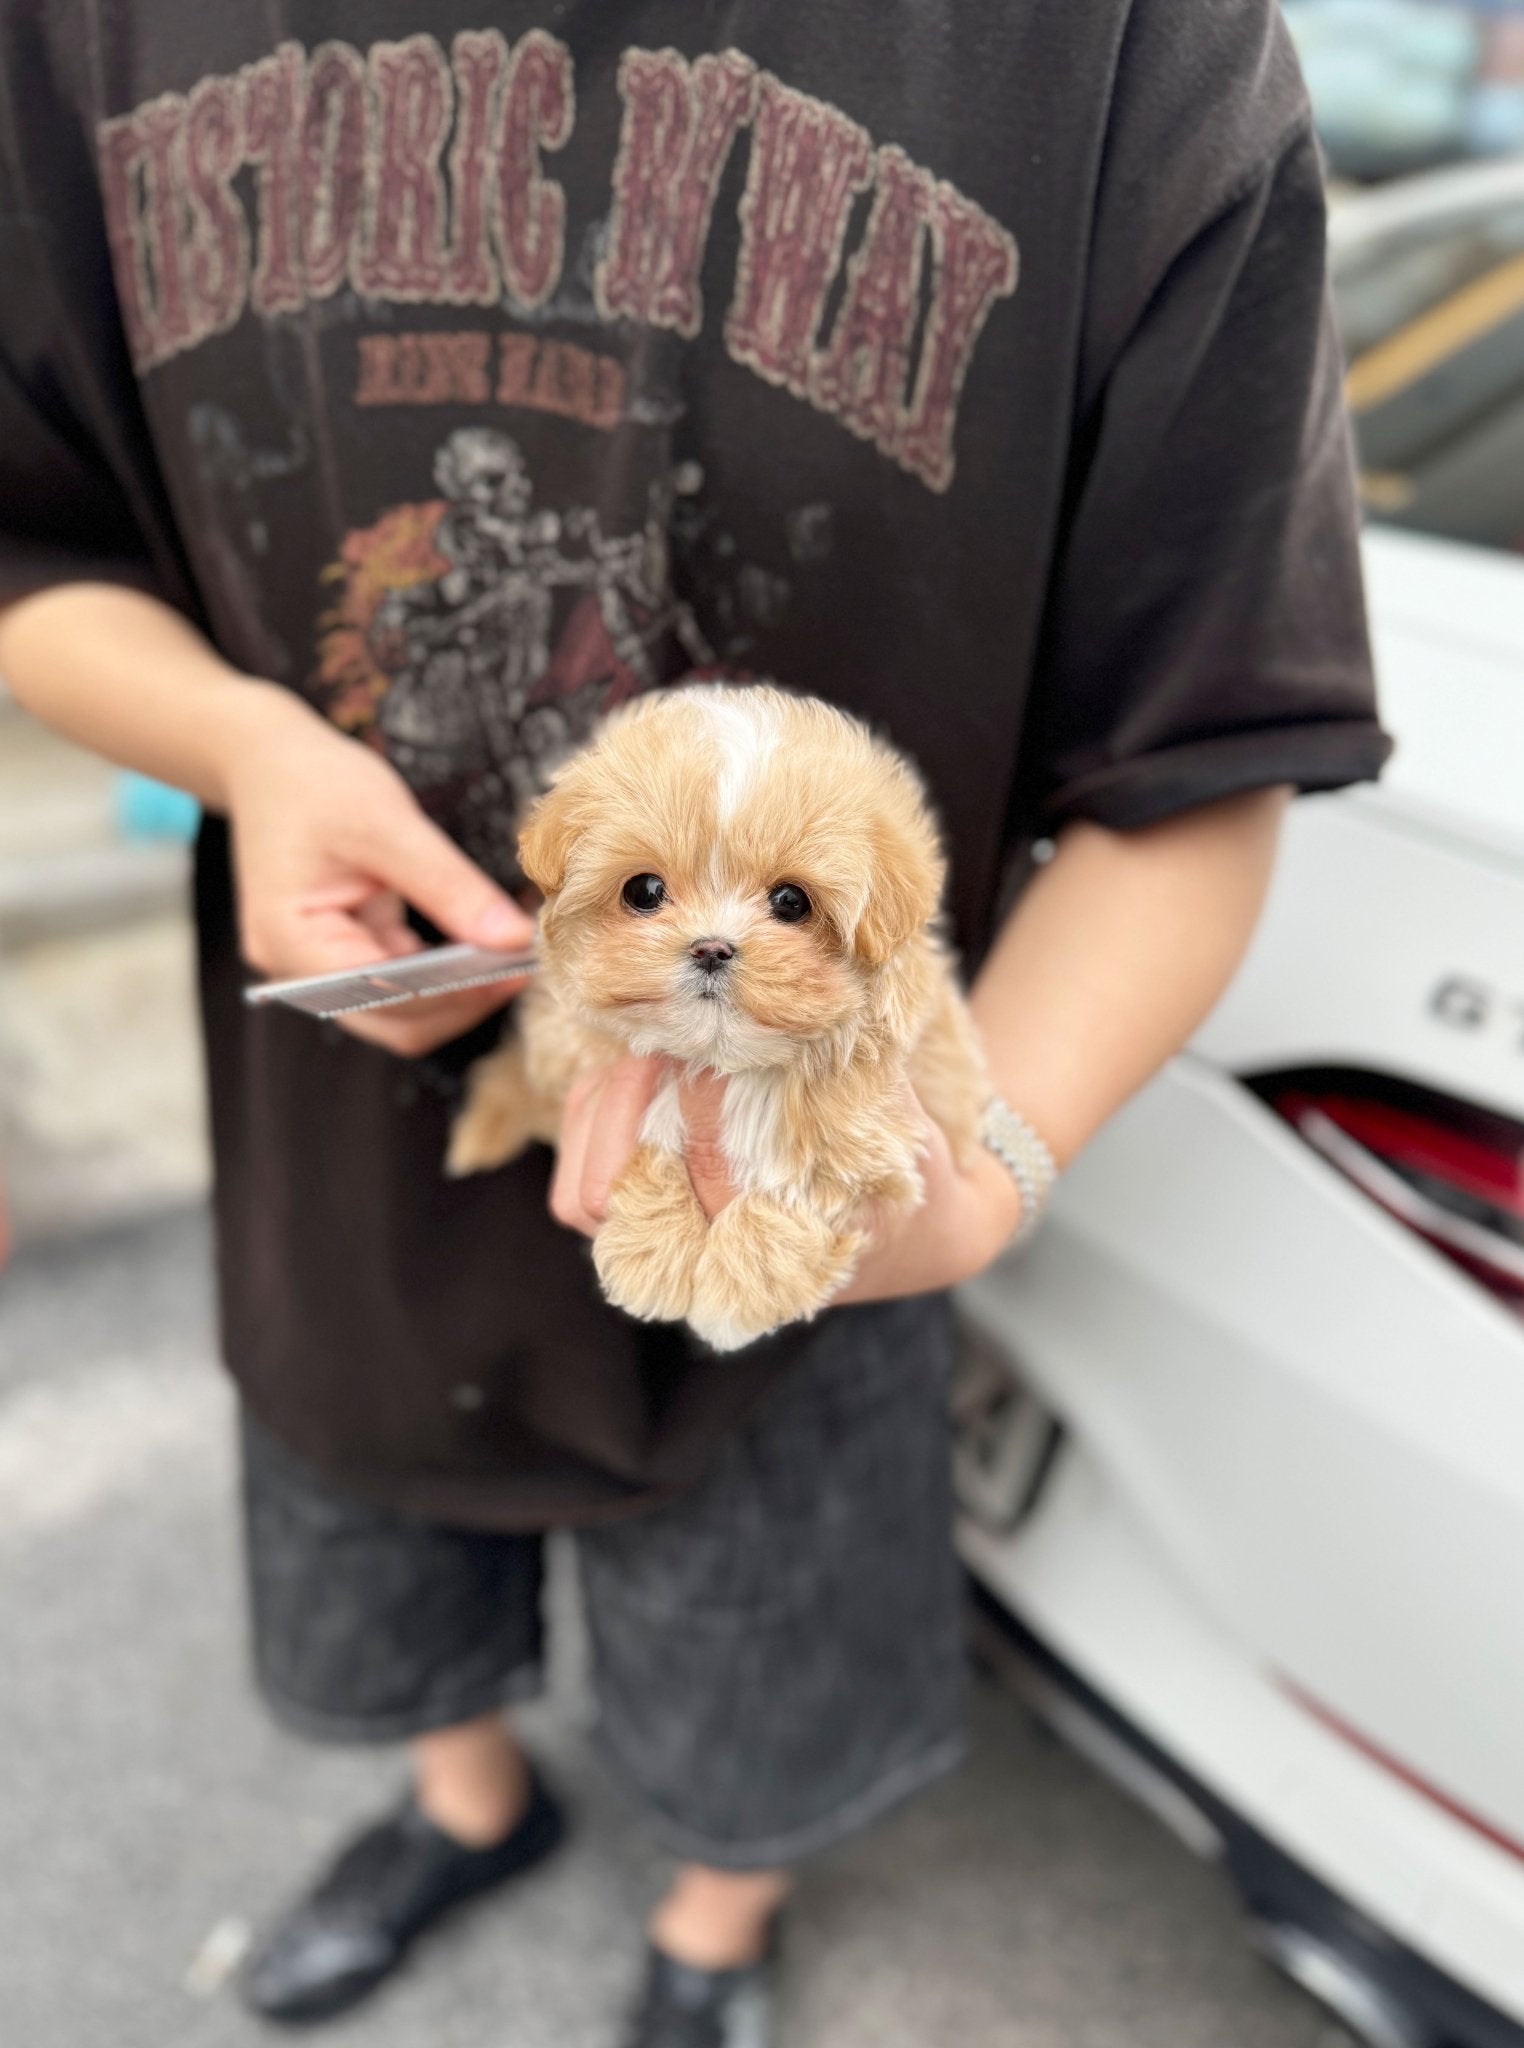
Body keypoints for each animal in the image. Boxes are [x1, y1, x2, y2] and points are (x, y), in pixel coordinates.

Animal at [444, 688, 987, 1351]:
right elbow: (651, 1134)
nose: (711, 948)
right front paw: (653, 1256)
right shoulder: (593, 1069)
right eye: (645, 891)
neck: (721, 1059)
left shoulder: (878, 1138)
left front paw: (740, 1291)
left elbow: (801, 1182)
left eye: (791, 902)